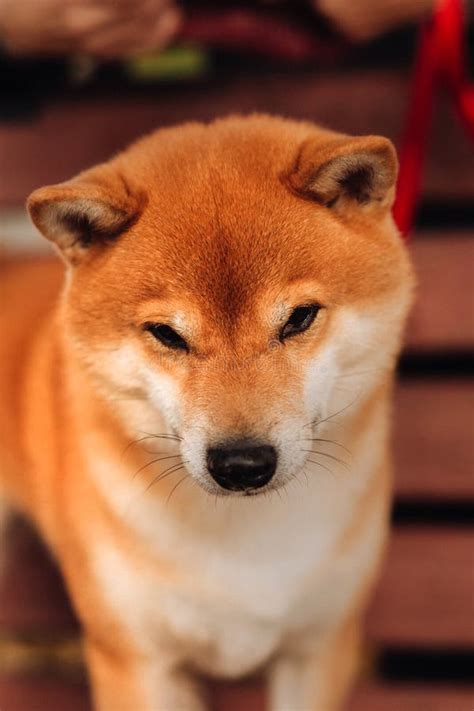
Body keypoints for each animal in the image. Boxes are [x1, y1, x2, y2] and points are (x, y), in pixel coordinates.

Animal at [0, 114, 412, 708]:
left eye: (300, 318)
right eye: (167, 334)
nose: (242, 463)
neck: (242, 541)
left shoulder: (319, 648)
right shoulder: (138, 662)